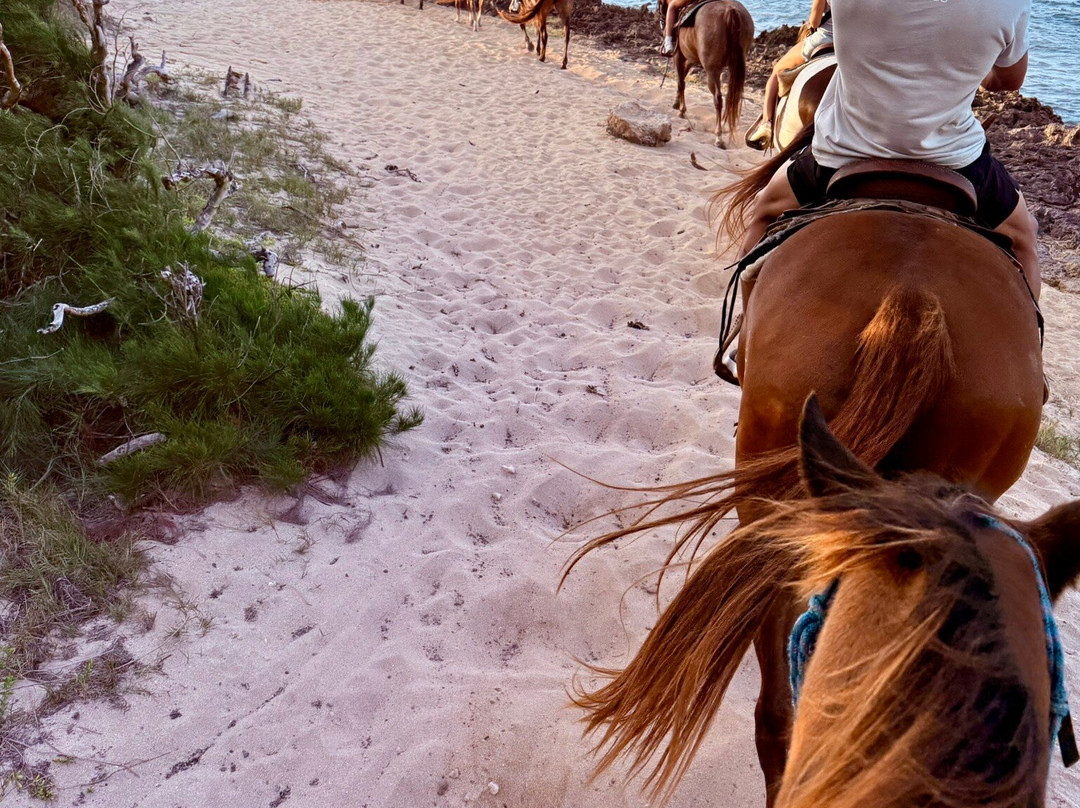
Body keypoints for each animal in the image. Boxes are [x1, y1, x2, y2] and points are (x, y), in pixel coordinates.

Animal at [659, 0, 753, 148]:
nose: (661, 21)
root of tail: (730, 11)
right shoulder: (691, 58)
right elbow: (683, 78)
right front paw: (677, 102)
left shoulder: (679, 56)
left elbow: (681, 82)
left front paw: (681, 110)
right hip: (735, 65)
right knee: (731, 98)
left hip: (711, 70)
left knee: (718, 98)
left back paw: (718, 136)